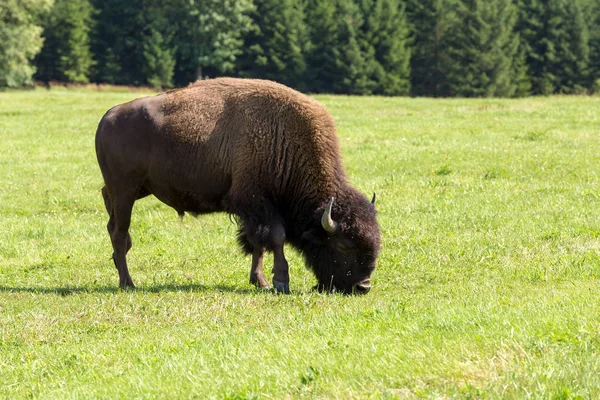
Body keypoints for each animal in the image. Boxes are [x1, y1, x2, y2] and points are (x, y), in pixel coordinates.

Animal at [96, 77, 382, 294]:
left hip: (137, 189)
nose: (363, 286)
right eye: (344, 245)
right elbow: (275, 238)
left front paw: (260, 281)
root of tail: (107, 117)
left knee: (111, 219)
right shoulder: (257, 202)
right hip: (125, 190)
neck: (284, 140)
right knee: (120, 233)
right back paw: (128, 283)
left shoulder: (255, 211)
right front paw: (280, 282)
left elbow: (258, 243)